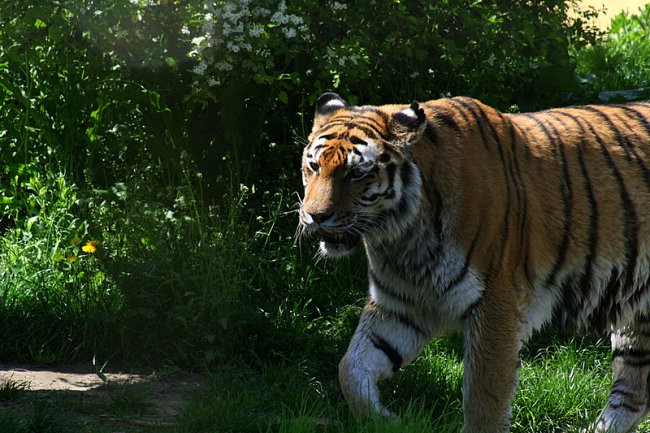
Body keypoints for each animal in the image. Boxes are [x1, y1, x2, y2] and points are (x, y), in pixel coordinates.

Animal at [298, 92, 650, 432]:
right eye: (313, 166)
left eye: (356, 173)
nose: (315, 216)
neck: (402, 238)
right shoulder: (400, 303)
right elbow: (351, 368)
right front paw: (384, 421)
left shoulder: (496, 305)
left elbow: (484, 397)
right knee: (633, 396)